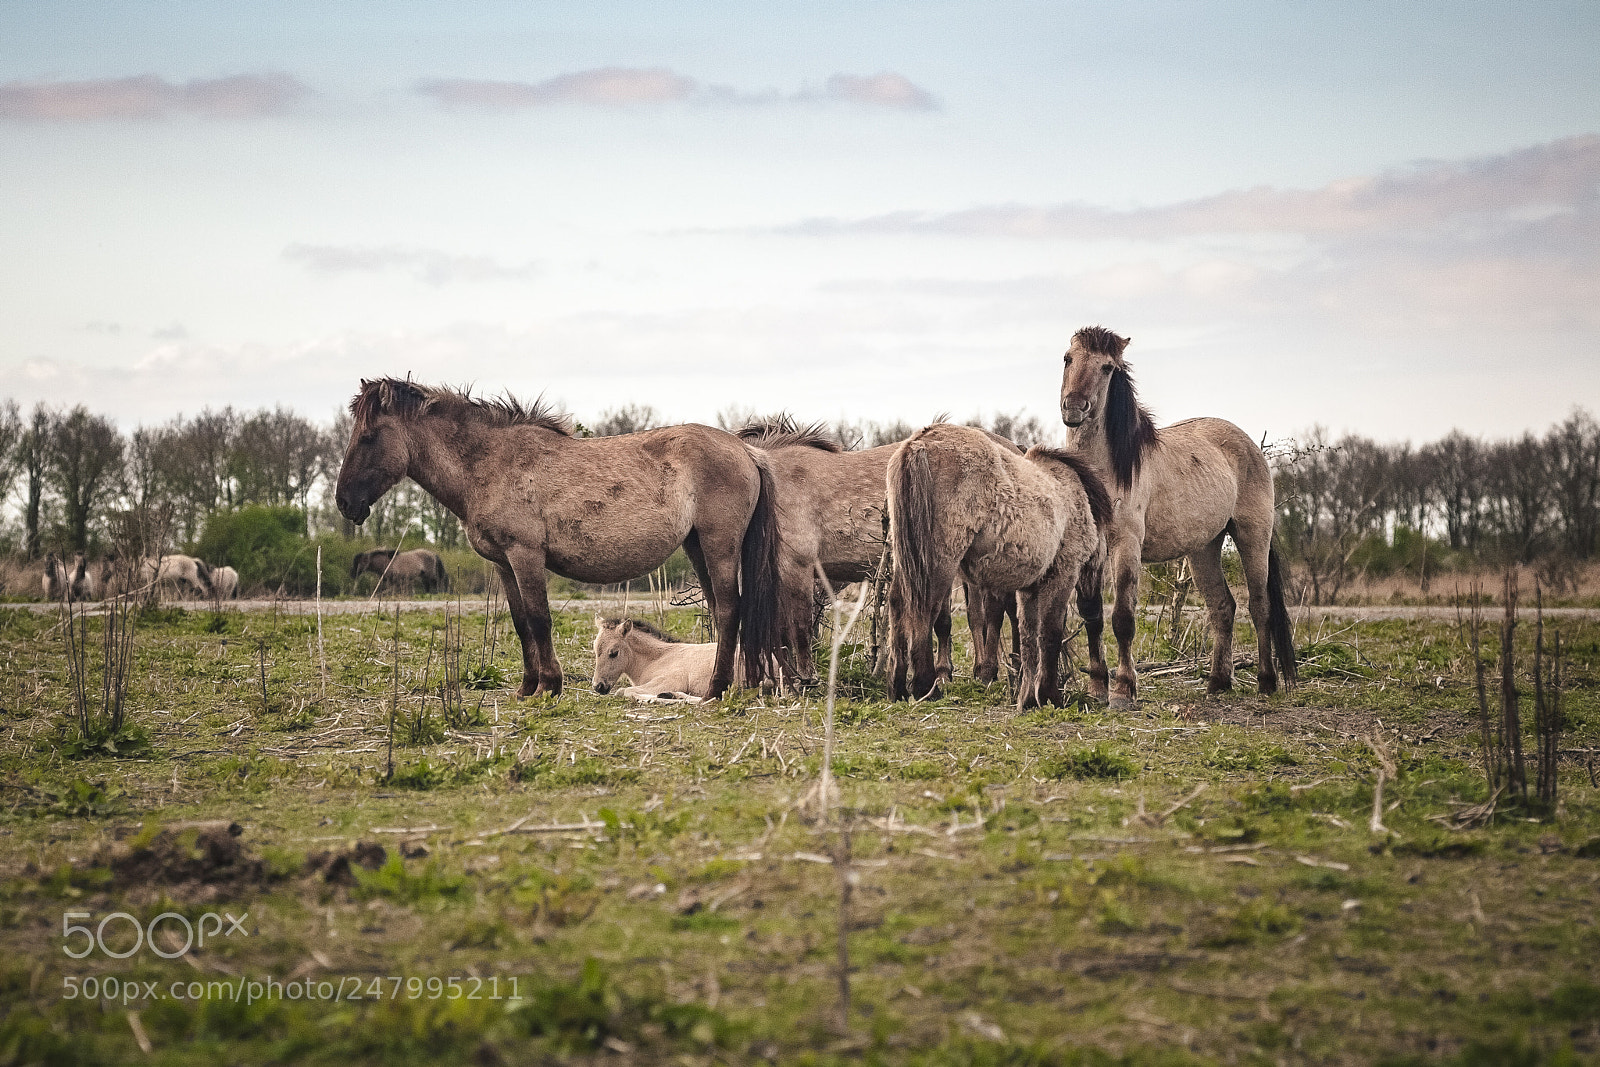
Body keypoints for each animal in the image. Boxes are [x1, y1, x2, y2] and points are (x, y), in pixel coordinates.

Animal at [591, 616, 743, 700]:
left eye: (614, 653)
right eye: (595, 649)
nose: (598, 686)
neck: (658, 658)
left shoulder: (672, 680)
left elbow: (625, 691)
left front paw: (654, 697)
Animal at [885, 424, 1113, 708]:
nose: (1095, 605)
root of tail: (921, 442)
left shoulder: (1029, 588)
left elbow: (1028, 636)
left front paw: (1028, 698)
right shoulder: (1063, 573)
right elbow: (1049, 633)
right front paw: (1049, 696)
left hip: (907, 558)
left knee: (897, 604)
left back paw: (897, 687)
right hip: (939, 563)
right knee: (925, 609)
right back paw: (926, 687)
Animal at [1058, 326, 1297, 709]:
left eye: (1108, 368)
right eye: (1068, 358)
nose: (1074, 408)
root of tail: (1249, 447)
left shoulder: (1125, 544)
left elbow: (1123, 618)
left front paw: (1123, 690)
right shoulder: (1092, 549)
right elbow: (1092, 613)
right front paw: (1096, 688)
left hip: (1252, 537)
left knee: (1260, 607)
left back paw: (1266, 681)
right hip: (1204, 548)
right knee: (1222, 607)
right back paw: (1217, 682)